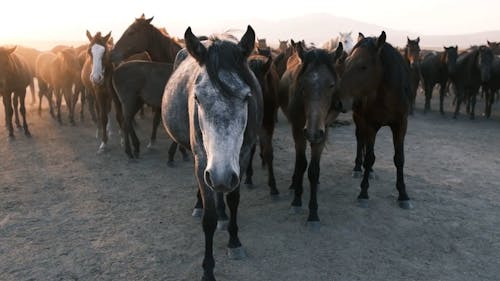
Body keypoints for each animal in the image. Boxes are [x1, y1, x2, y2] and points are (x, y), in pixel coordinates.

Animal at [161, 25, 262, 278]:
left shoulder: (242, 157)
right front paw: (208, 270)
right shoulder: (203, 160)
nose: (221, 175)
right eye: (197, 97)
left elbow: (234, 199)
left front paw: (234, 242)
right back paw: (200, 204)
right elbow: (208, 219)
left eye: (247, 96)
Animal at [278, 39, 344, 226]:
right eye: (302, 85)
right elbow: (301, 163)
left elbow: (314, 170)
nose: (313, 132)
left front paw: (313, 213)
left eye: (331, 85)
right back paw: (294, 184)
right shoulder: (299, 130)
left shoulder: (323, 132)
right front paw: (297, 200)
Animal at [336, 31, 414, 209]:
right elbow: (370, 157)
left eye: (363, 66)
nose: (338, 101)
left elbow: (399, 159)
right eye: (346, 63)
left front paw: (403, 195)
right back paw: (358, 168)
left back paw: (369, 171)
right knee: (360, 139)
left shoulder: (400, 125)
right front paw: (363, 193)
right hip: (359, 119)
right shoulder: (371, 125)